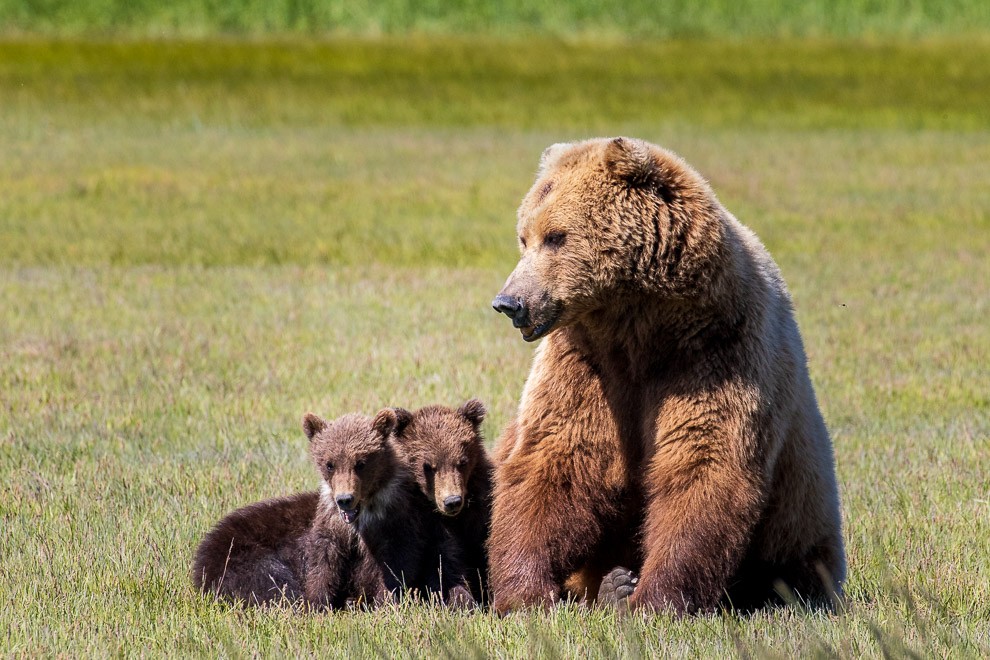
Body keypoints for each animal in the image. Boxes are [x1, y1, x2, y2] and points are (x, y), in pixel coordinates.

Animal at [390, 398, 494, 604]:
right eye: (428, 466)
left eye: (462, 462)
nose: (452, 501)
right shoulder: (429, 526)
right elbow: (445, 564)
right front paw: (462, 600)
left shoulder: (479, 512)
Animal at [488, 137, 844, 616]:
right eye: (524, 237)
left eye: (556, 237)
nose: (510, 302)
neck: (639, 324)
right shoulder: (587, 364)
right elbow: (561, 453)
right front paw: (526, 592)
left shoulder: (715, 351)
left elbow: (701, 461)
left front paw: (657, 598)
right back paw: (611, 584)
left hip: (804, 508)